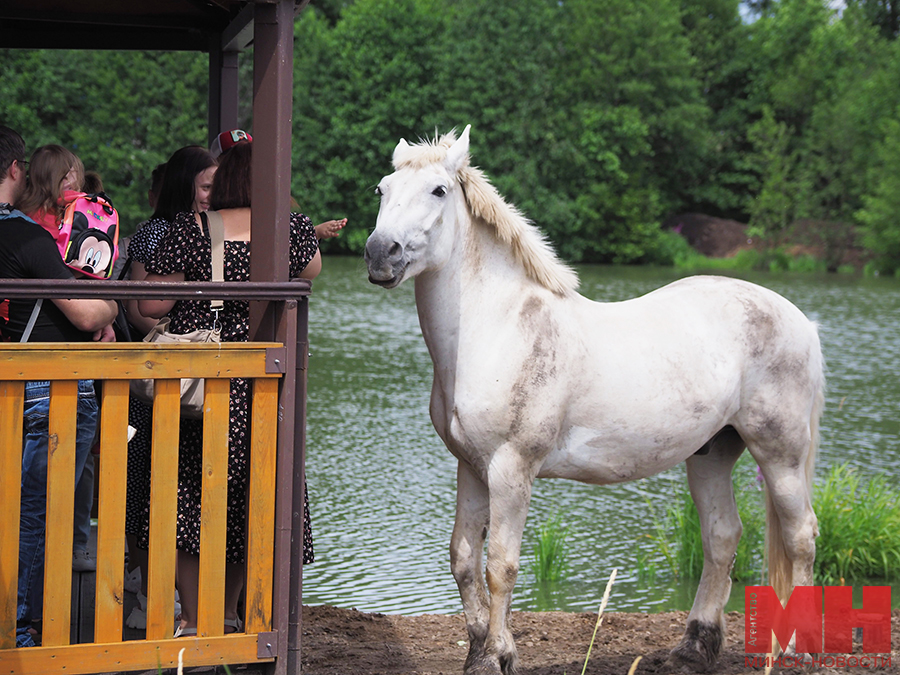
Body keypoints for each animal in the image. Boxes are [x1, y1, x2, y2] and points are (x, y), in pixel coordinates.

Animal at [364, 128, 824, 675]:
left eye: (438, 190)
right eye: (382, 188)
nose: (380, 254)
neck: (496, 328)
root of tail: (800, 320)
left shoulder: (511, 469)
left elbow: (500, 566)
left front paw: (499, 656)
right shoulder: (471, 467)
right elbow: (462, 559)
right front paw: (479, 654)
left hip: (780, 454)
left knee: (800, 538)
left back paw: (798, 648)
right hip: (711, 454)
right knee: (722, 538)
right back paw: (693, 649)